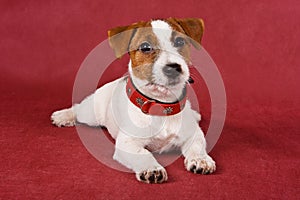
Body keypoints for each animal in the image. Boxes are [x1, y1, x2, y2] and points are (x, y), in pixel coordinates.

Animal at [51, 18, 216, 184]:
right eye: (145, 47)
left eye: (180, 41)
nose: (173, 68)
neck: (161, 106)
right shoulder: (127, 143)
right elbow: (143, 153)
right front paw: (152, 168)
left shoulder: (194, 134)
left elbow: (197, 146)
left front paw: (201, 159)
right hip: (91, 114)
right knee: (78, 109)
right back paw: (63, 116)